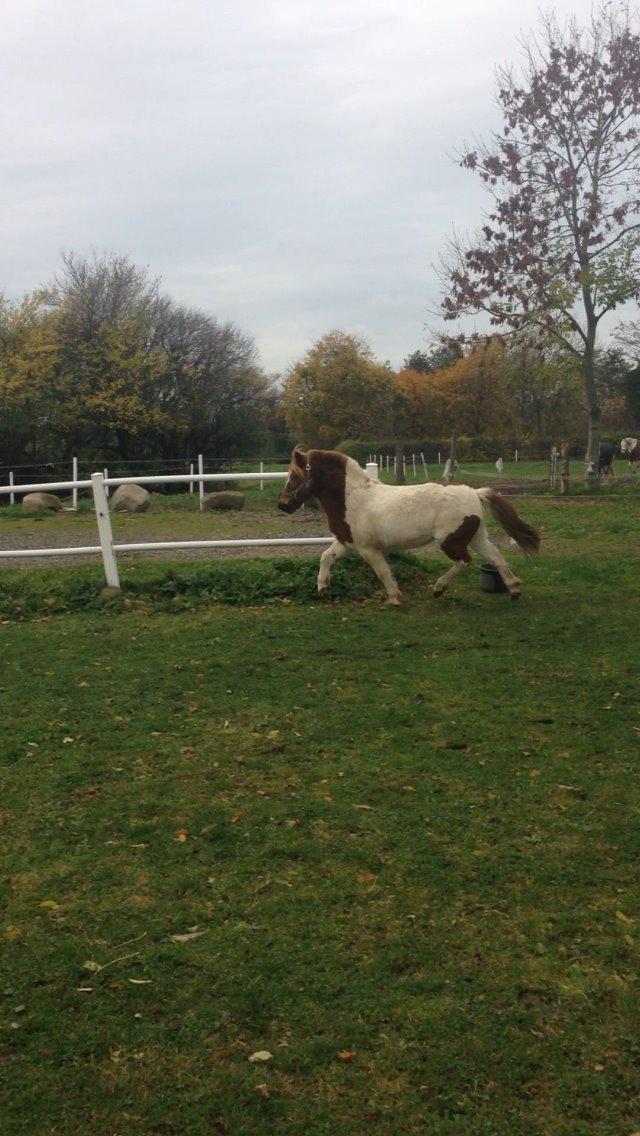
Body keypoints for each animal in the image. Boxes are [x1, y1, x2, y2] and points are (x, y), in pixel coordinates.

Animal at [276, 443, 541, 604]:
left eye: (296, 476)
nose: (282, 504)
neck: (353, 498)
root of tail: (474, 493)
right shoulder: (346, 543)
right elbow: (325, 557)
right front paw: (322, 587)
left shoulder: (368, 549)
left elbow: (382, 571)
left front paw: (394, 597)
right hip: (476, 537)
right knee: (496, 557)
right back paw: (514, 589)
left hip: (451, 542)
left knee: (464, 561)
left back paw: (438, 588)